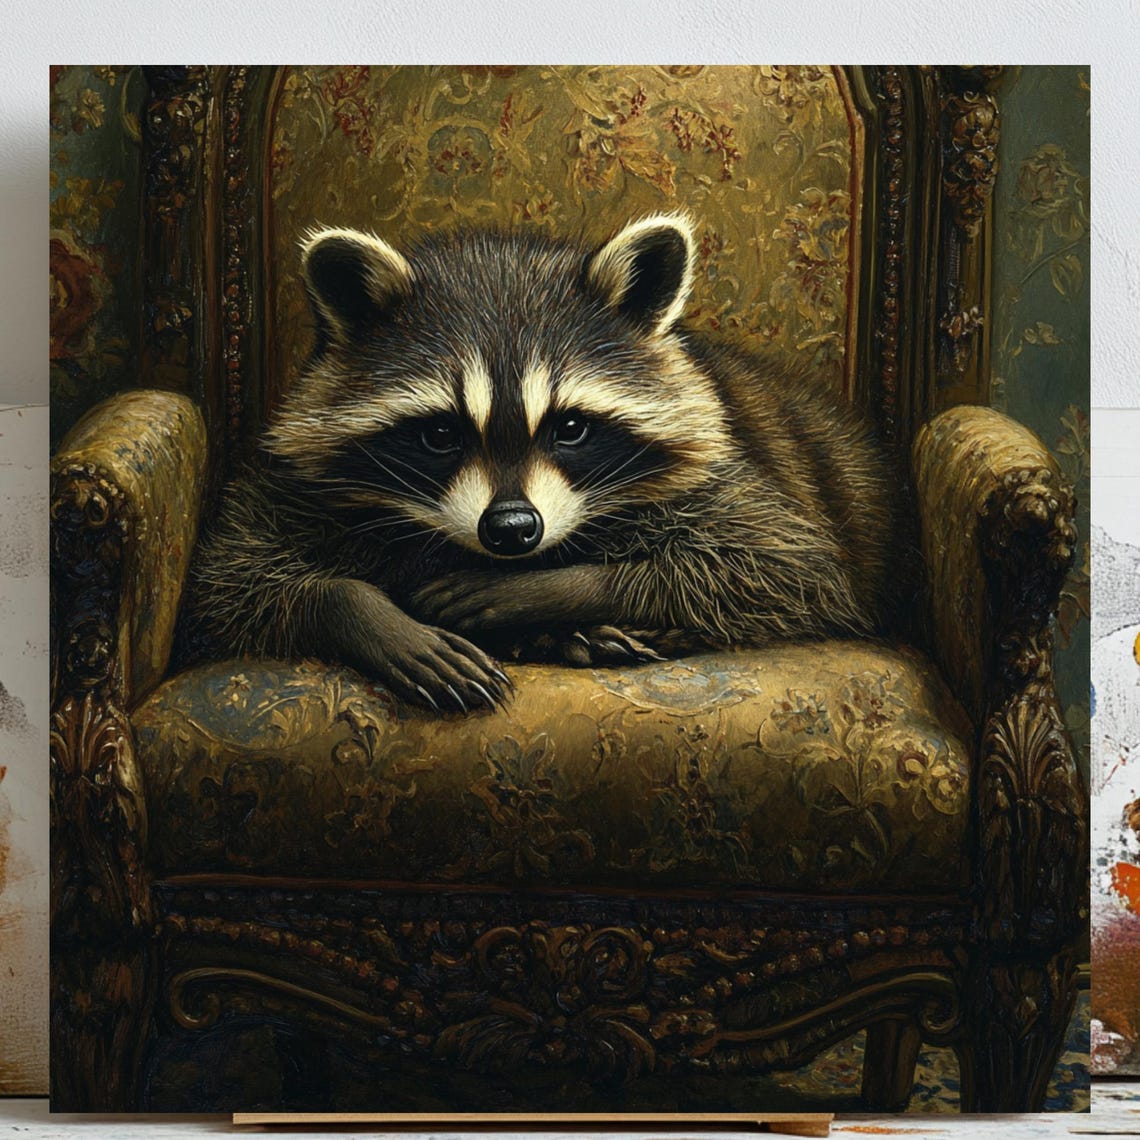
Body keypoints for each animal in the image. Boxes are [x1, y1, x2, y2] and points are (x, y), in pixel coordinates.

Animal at [182, 215, 895, 711]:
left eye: (570, 428)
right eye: (440, 433)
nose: (511, 529)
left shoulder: (728, 477)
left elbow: (782, 567)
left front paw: (540, 592)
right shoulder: (293, 485)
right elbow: (234, 581)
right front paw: (373, 617)